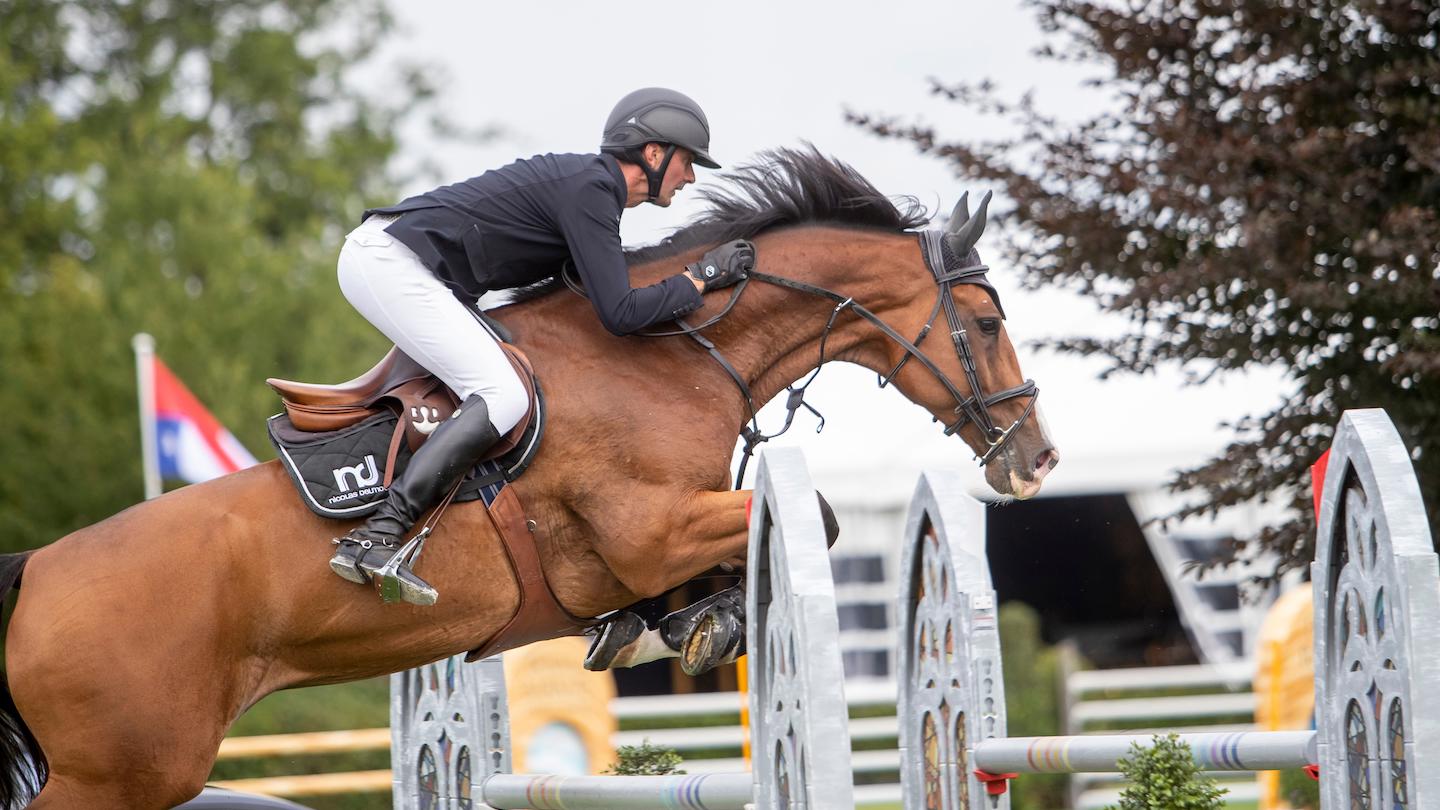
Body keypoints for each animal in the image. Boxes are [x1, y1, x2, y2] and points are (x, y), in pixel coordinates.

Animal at [0, 148, 1059, 801]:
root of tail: (34, 576)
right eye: (988, 322)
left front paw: (672, 622)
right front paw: (702, 620)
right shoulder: (649, 530)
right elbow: (823, 517)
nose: (1036, 460)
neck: (674, 355)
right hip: (126, 771)